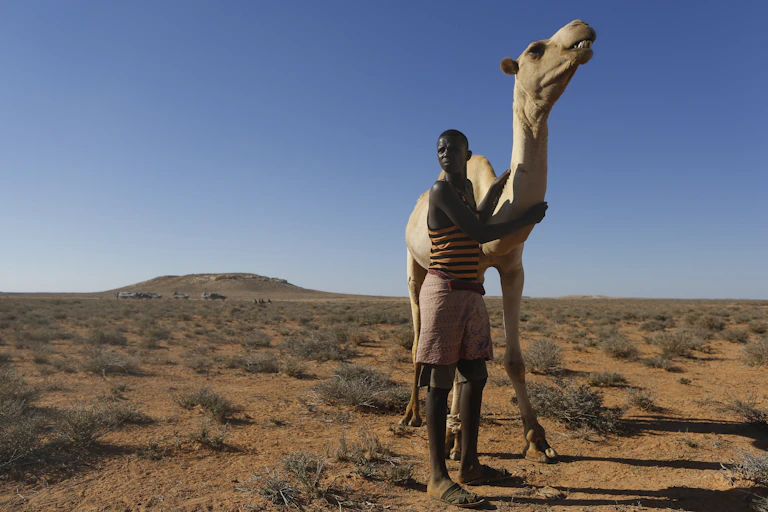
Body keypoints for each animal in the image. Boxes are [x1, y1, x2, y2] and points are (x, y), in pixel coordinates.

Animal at [400, 20, 596, 464]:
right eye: (535, 48)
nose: (581, 26)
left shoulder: (512, 269)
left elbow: (512, 360)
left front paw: (537, 439)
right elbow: (453, 358)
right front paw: (452, 436)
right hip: (411, 263)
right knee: (419, 337)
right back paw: (411, 415)